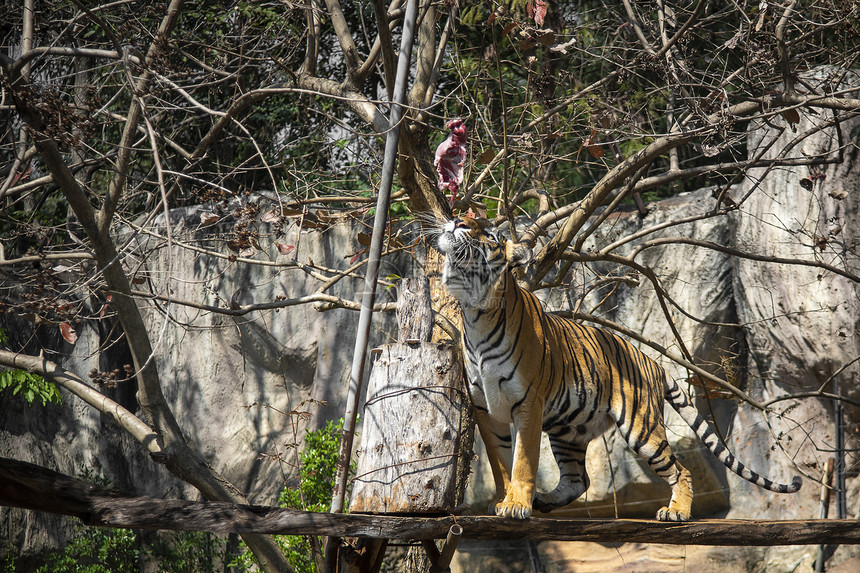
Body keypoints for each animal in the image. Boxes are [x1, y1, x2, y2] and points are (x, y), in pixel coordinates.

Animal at [440, 214, 804, 520]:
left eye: (489, 235)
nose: (456, 221)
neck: (476, 312)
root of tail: (653, 362)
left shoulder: (528, 402)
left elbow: (522, 462)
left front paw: (516, 505)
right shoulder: (484, 408)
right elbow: (501, 462)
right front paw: (505, 500)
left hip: (640, 425)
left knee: (679, 469)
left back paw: (677, 512)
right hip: (567, 428)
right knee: (578, 480)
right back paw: (545, 499)